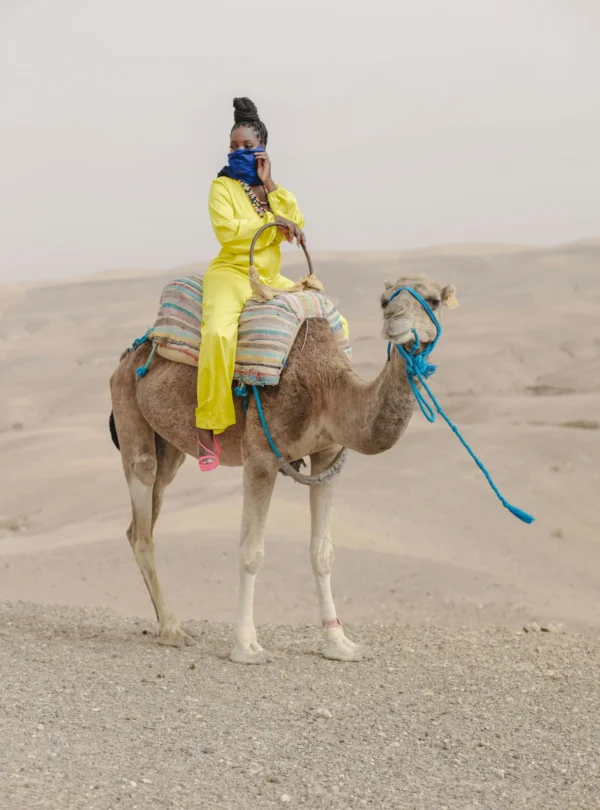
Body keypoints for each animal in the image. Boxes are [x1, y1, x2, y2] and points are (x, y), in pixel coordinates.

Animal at [109, 273, 457, 663]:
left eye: (433, 300)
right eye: (384, 301)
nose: (395, 318)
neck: (326, 391)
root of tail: (130, 355)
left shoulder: (328, 454)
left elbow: (322, 552)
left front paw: (339, 643)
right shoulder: (260, 456)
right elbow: (252, 551)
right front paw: (247, 647)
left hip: (169, 446)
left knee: (143, 516)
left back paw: (165, 625)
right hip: (128, 409)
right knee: (142, 511)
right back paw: (172, 630)